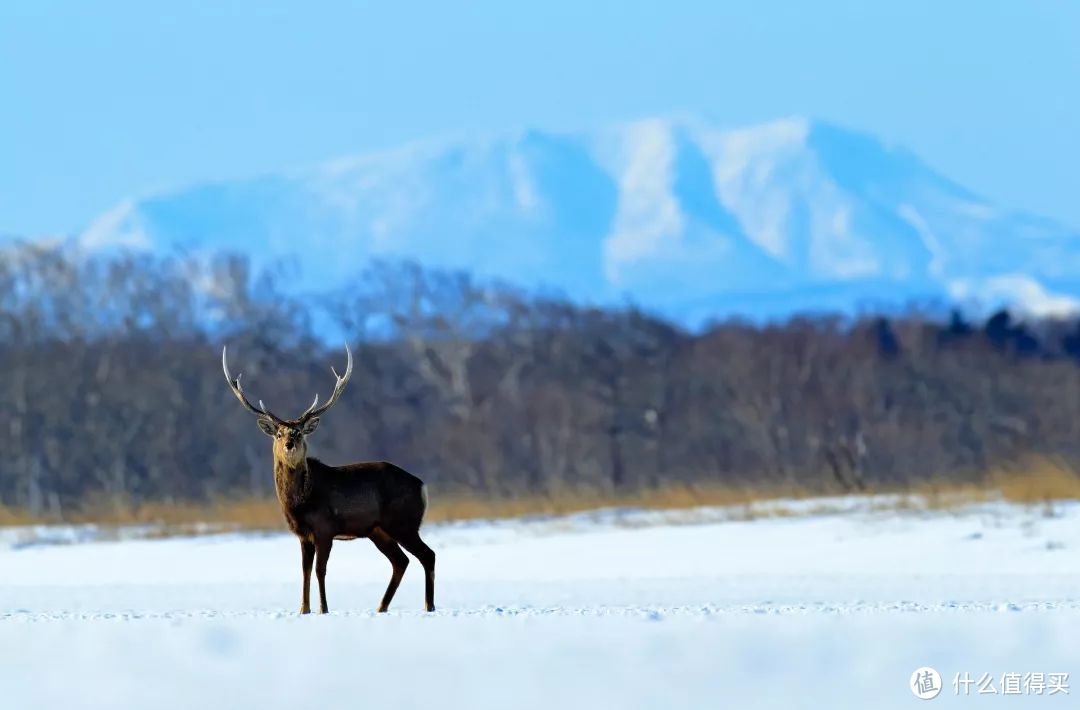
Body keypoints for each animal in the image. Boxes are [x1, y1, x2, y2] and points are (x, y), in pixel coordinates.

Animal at [221, 341, 436, 609]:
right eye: (279, 434)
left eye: (299, 432)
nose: (289, 445)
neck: (299, 503)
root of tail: (422, 485)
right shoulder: (303, 534)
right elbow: (304, 571)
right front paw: (304, 609)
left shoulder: (324, 528)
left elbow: (319, 571)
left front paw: (323, 609)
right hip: (378, 530)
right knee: (401, 561)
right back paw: (381, 608)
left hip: (403, 522)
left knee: (427, 555)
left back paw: (428, 606)